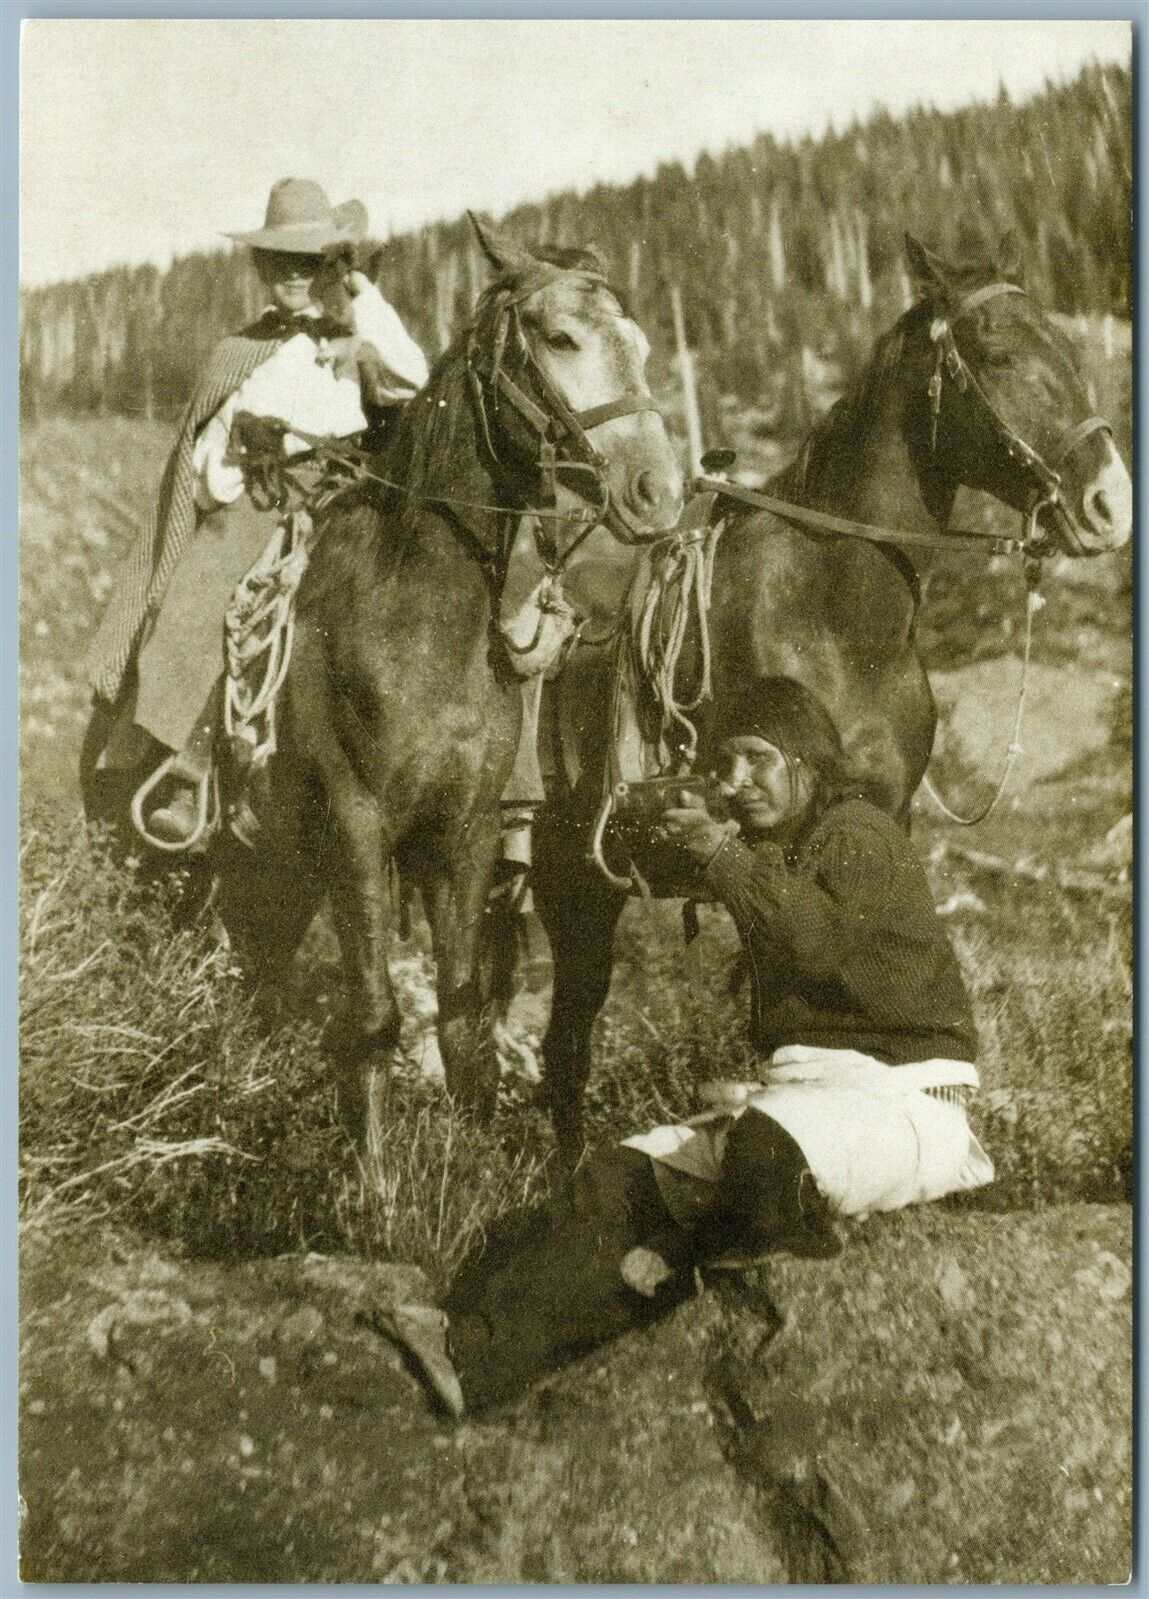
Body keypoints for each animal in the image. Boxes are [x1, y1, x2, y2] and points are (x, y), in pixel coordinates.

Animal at [92, 219, 683, 1132]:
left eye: (644, 344)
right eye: (559, 338)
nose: (658, 491)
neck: (416, 621)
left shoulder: (465, 833)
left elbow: (464, 1014)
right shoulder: (356, 828)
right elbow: (371, 1017)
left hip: (271, 874)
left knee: (245, 977)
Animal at [530, 231, 1131, 1157]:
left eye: (1069, 345)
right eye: (997, 353)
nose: (1110, 504)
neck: (835, 610)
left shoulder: (883, 817)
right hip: (572, 894)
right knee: (561, 1041)